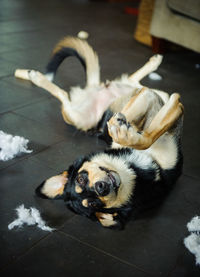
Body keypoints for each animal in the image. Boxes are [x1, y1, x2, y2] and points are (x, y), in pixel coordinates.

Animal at [14, 36, 184, 227]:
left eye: (81, 179)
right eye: (94, 204)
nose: (101, 188)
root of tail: (94, 88)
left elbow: (132, 127)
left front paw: (123, 129)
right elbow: (148, 135)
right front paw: (126, 130)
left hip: (130, 94)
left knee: (135, 84)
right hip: (77, 116)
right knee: (64, 96)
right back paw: (34, 76)